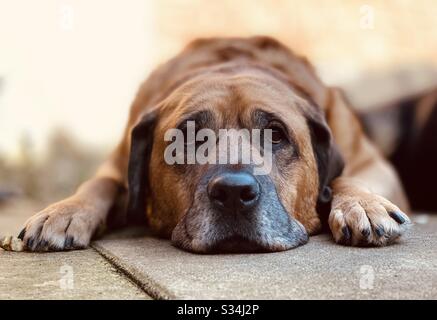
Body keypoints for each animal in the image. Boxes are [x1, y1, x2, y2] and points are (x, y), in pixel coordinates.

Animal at [18, 37, 410, 252]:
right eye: (189, 137)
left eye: (276, 134)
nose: (234, 193)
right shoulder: (116, 162)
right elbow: (100, 182)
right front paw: (64, 212)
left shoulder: (373, 163)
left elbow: (350, 176)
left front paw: (364, 204)